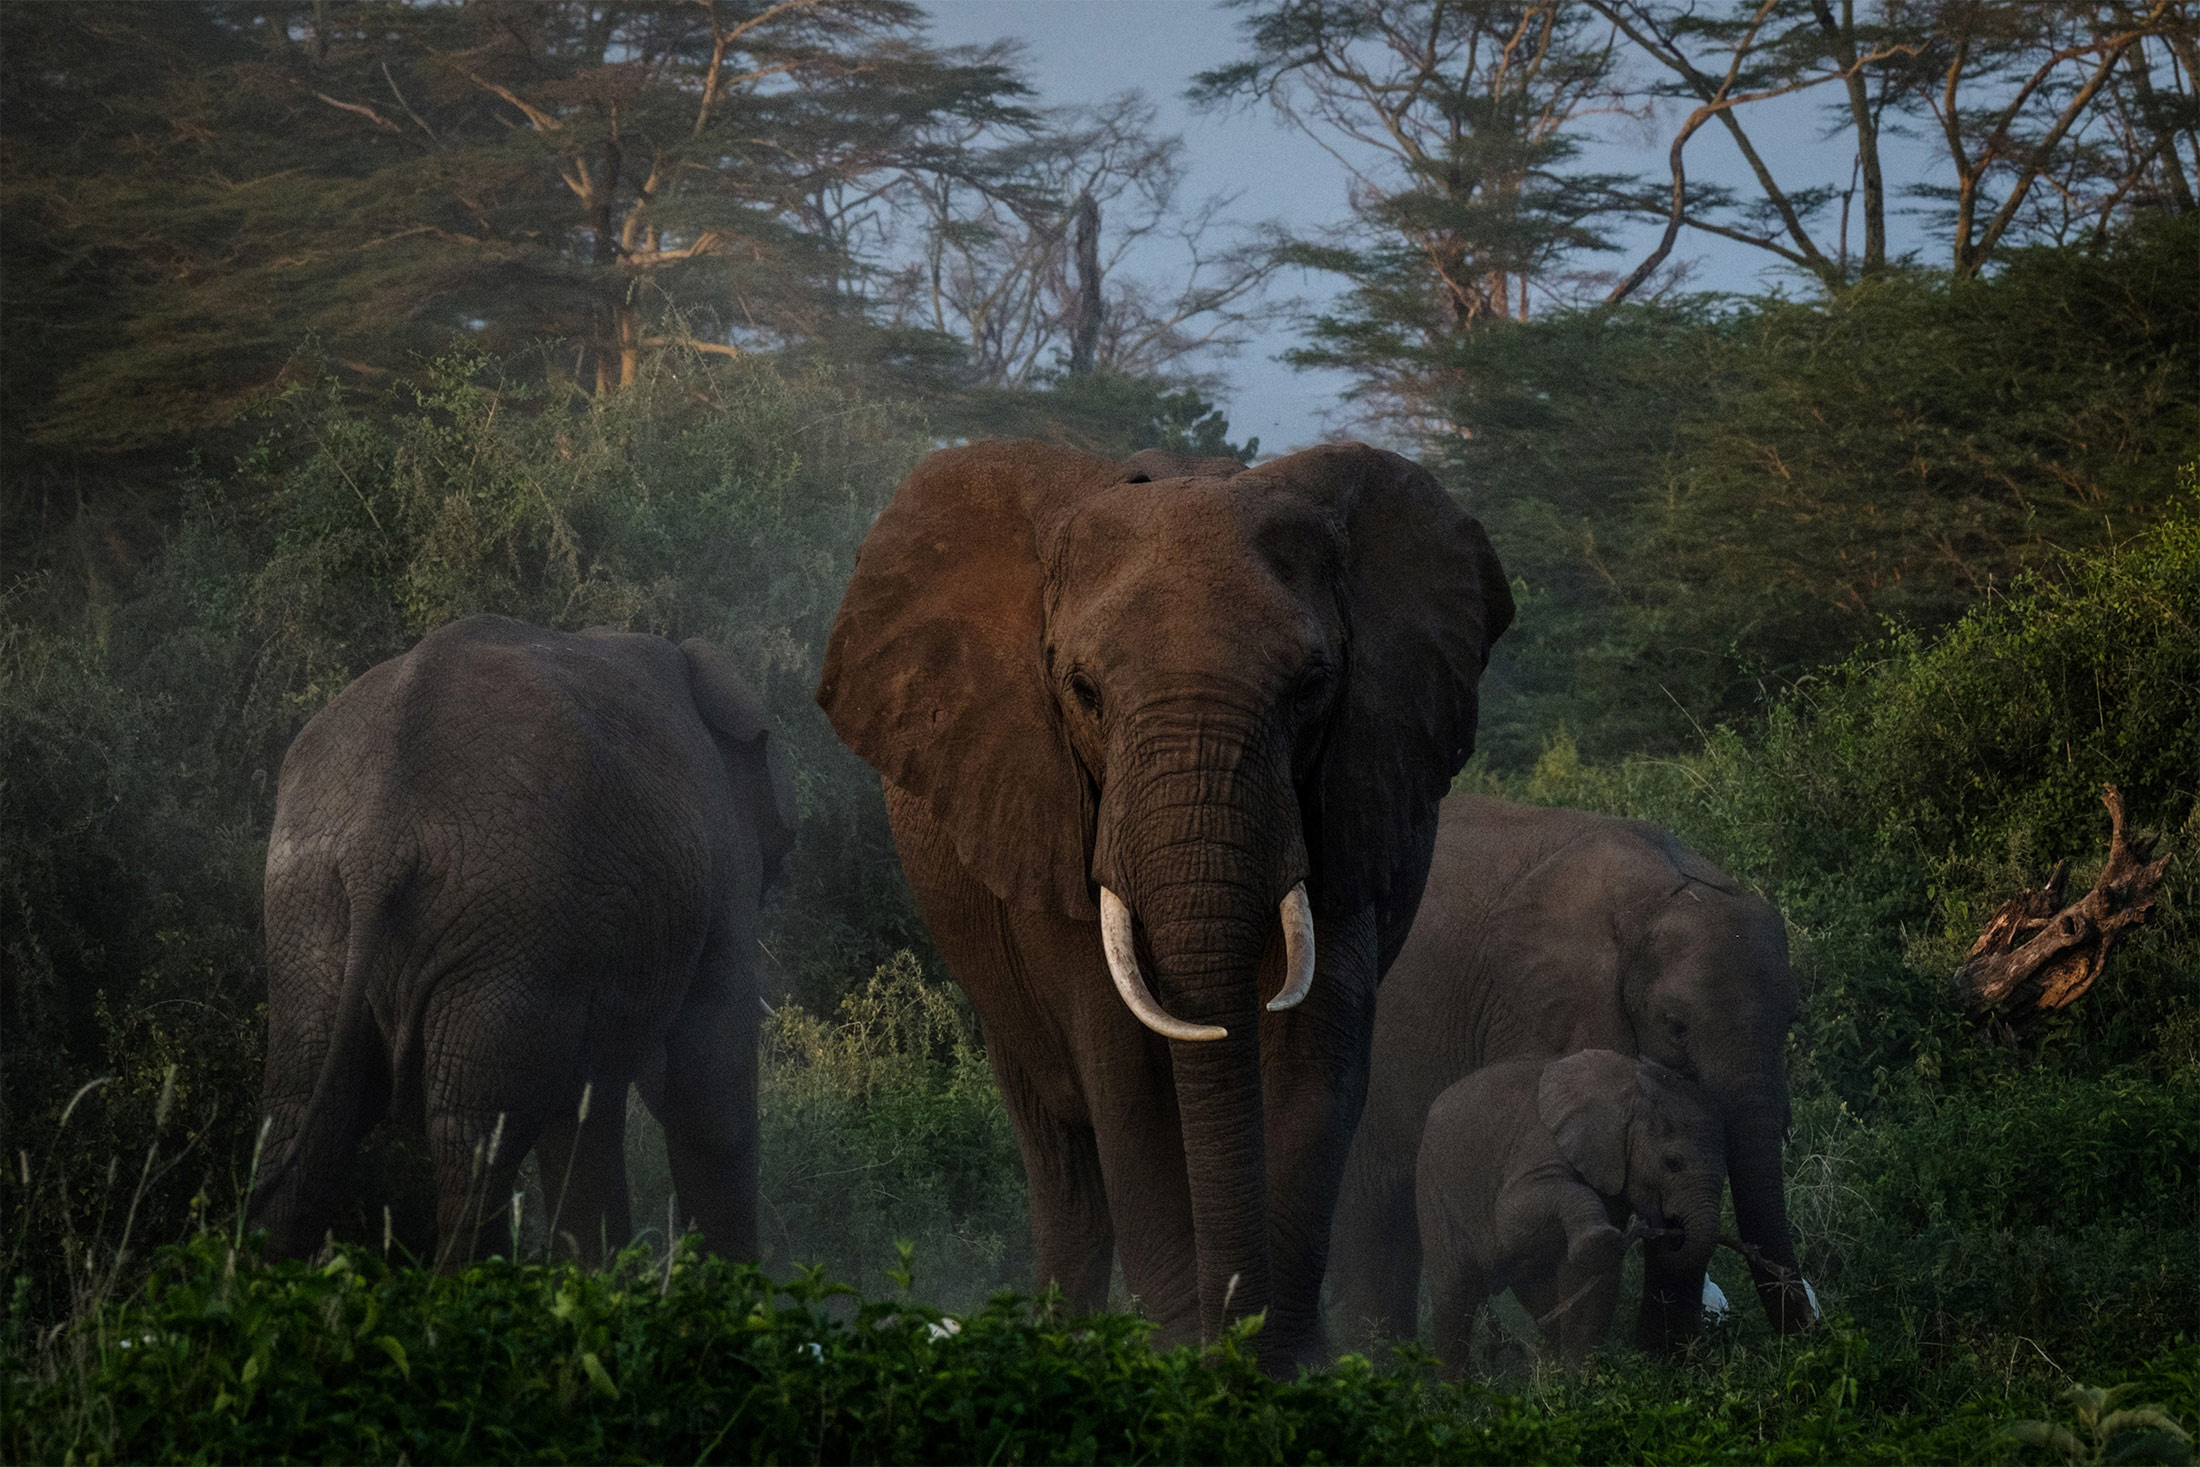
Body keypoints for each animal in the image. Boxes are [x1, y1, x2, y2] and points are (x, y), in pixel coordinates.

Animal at [248, 614, 795, 1266]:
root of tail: (375, 846)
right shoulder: (722, 869)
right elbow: (709, 1091)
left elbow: (589, 1110)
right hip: (507, 919)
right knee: (474, 1141)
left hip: (314, 907)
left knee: (307, 1115)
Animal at [815, 440, 1512, 1370]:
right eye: (1082, 690)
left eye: (1312, 686)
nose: (1230, 1335)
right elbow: (1125, 1070)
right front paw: (1181, 1354)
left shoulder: (1346, 797)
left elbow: (1316, 1053)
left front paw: (1287, 1363)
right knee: (1062, 1157)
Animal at [1417, 1051, 1726, 1373]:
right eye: (1673, 1162)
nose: (1670, 1227)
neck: (1629, 1087)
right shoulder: (1539, 1143)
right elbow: (1512, 1215)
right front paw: (1601, 1240)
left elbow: (1591, 1276)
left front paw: (1578, 1376)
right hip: (1433, 1191)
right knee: (1453, 1296)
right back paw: (1454, 1384)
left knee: (1536, 1292)